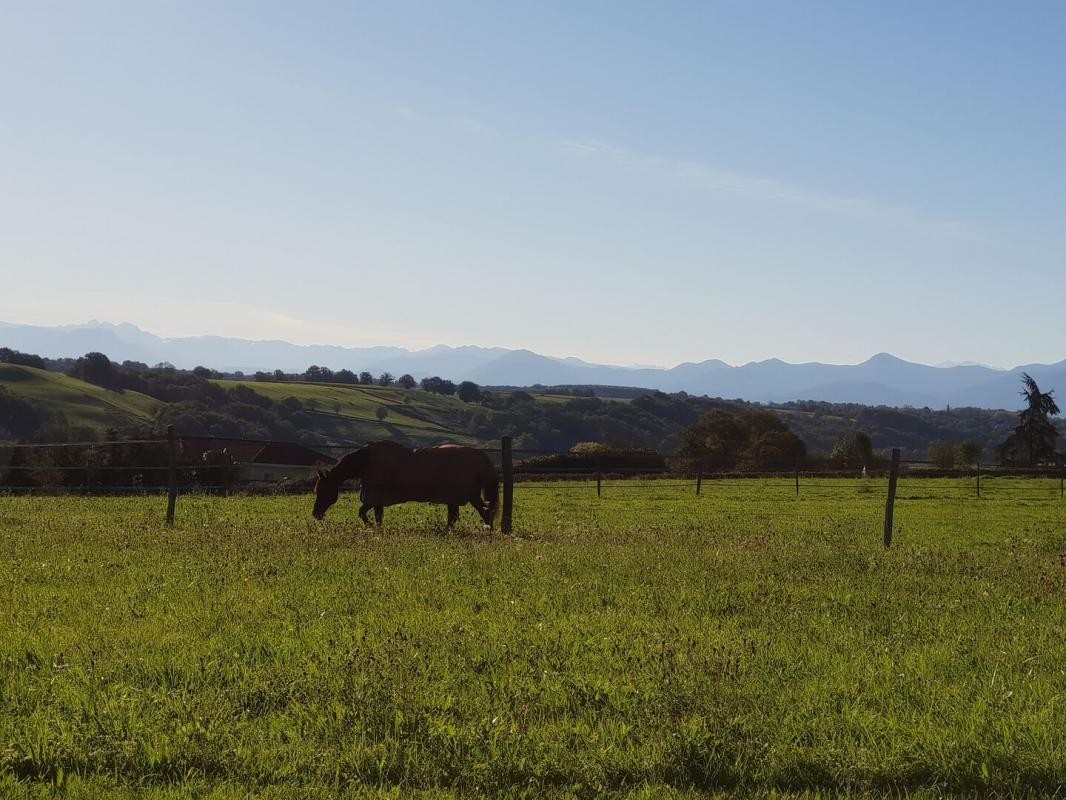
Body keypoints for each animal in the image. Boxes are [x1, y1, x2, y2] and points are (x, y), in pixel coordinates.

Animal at [311, 441, 498, 529]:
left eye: (322, 490)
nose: (316, 514)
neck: (366, 462)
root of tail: (480, 456)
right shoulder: (378, 501)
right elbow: (378, 518)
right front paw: (377, 529)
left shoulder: (373, 498)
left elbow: (362, 513)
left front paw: (370, 526)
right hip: (463, 497)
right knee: (474, 513)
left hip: (461, 496)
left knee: (480, 512)